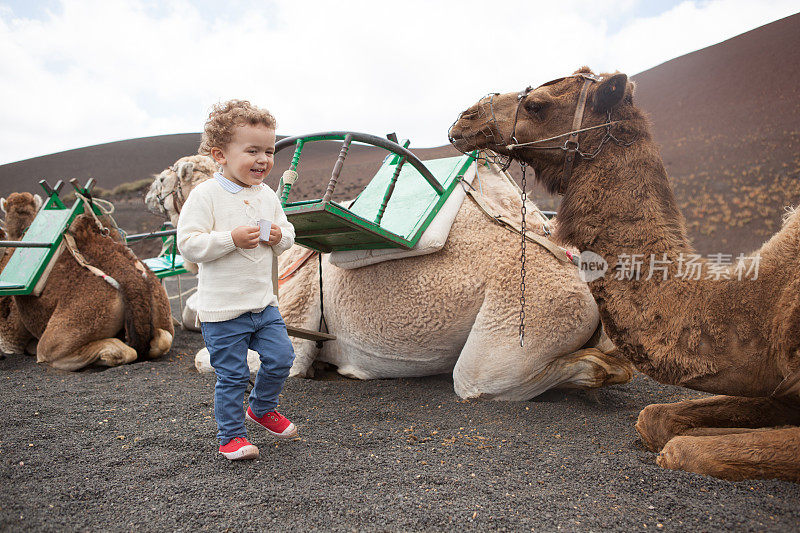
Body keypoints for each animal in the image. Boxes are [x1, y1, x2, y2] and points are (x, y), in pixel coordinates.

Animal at [148, 154, 632, 400]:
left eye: (171, 175)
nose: (151, 194)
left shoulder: (294, 327)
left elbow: (204, 360)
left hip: (523, 316)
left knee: (483, 381)